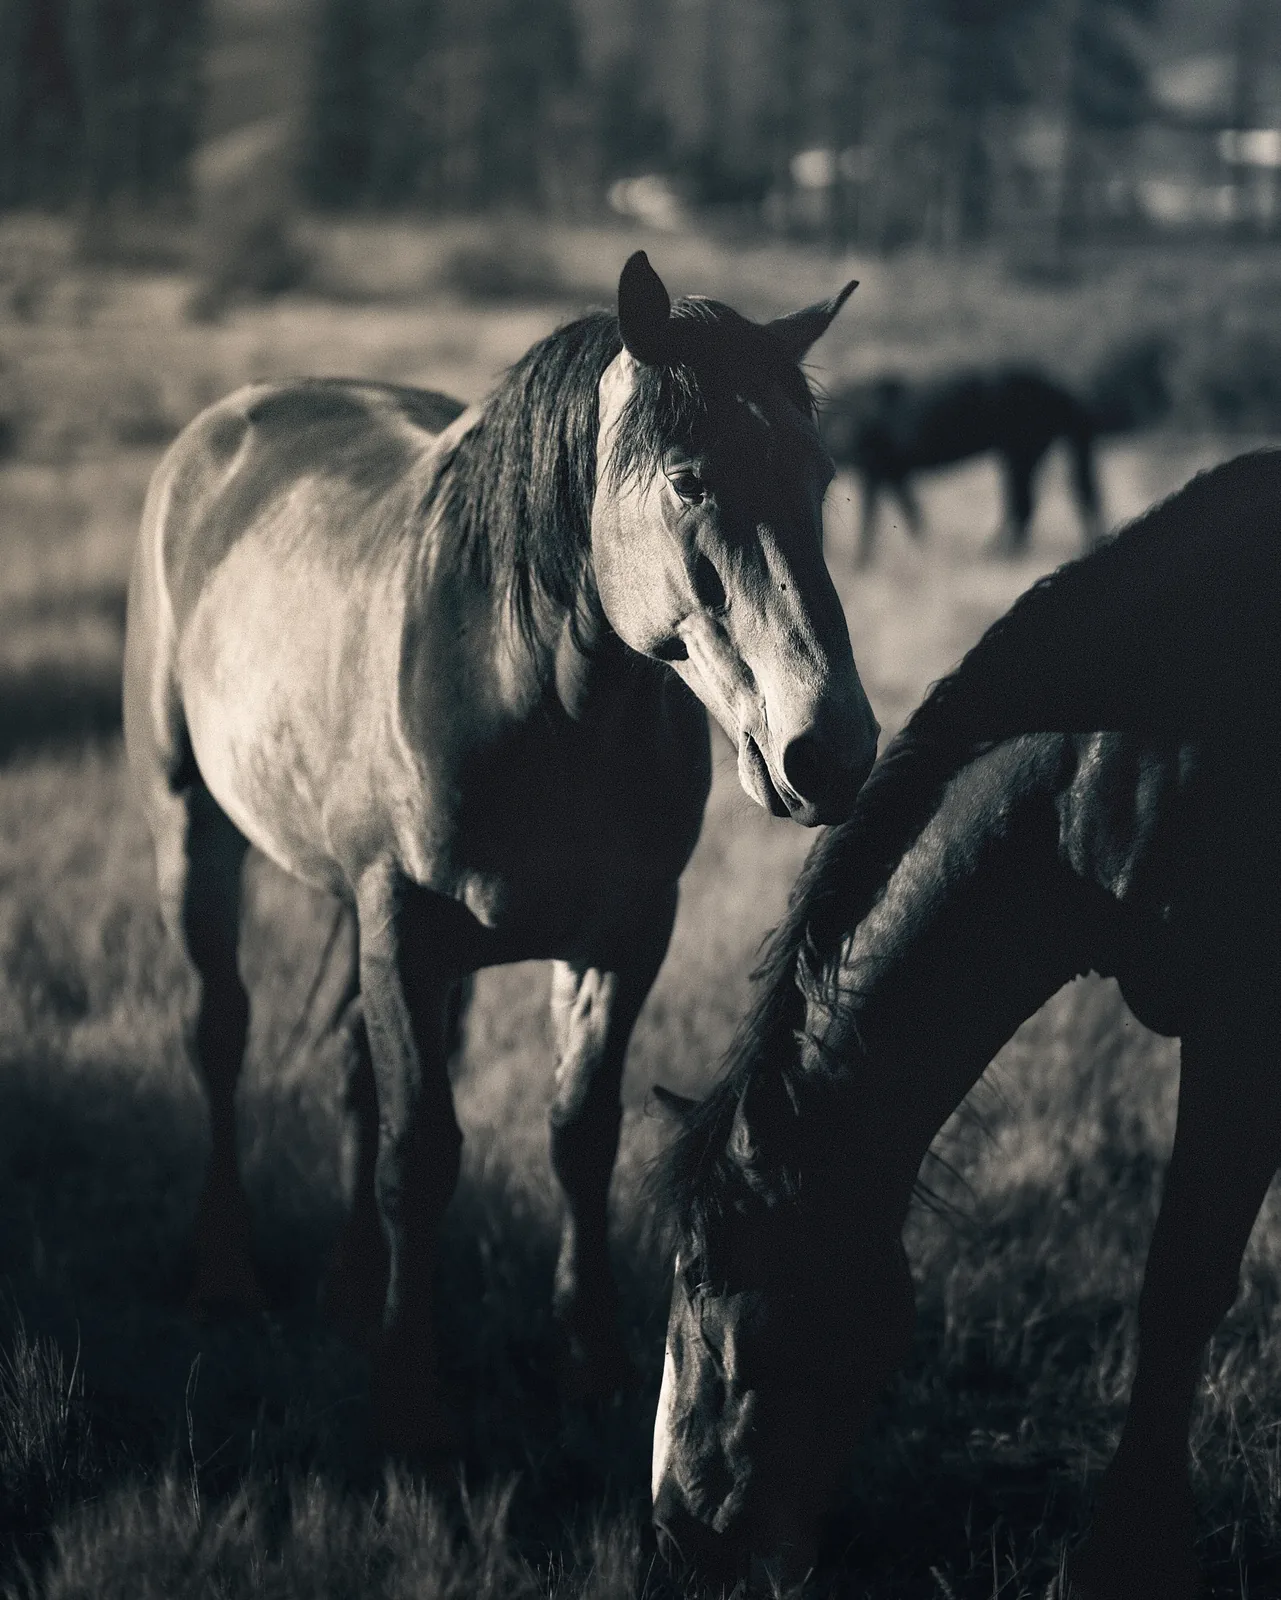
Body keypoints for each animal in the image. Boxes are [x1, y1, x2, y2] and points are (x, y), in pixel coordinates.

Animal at [122, 251, 879, 1453]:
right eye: (689, 481)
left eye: (820, 477)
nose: (833, 748)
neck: (538, 697)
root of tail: (223, 426)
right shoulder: (405, 930)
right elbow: (420, 1155)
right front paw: (405, 1401)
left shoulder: (623, 939)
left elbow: (580, 1135)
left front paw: (591, 1361)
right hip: (191, 827)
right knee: (221, 1033)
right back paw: (227, 1274)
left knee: (350, 1070)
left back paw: (347, 1290)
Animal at [822, 337, 1170, 565]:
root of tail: (1060, 390)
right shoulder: (894, 473)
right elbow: (912, 515)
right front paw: (925, 551)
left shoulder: (875, 471)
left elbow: (871, 521)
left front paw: (862, 562)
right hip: (1018, 457)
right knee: (1026, 506)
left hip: (1019, 455)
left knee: (1022, 506)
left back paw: (996, 555)